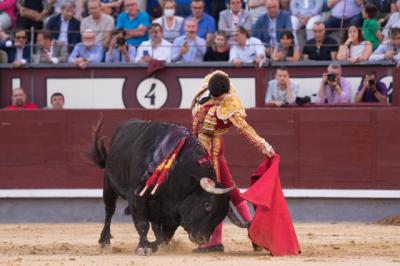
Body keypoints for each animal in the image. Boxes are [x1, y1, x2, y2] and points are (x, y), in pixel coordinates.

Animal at [89, 118, 241, 256]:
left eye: (222, 215)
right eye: (207, 204)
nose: (202, 238)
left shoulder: (174, 210)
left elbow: (165, 235)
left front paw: (155, 245)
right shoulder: (137, 197)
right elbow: (143, 224)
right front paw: (143, 247)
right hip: (109, 185)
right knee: (109, 212)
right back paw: (104, 241)